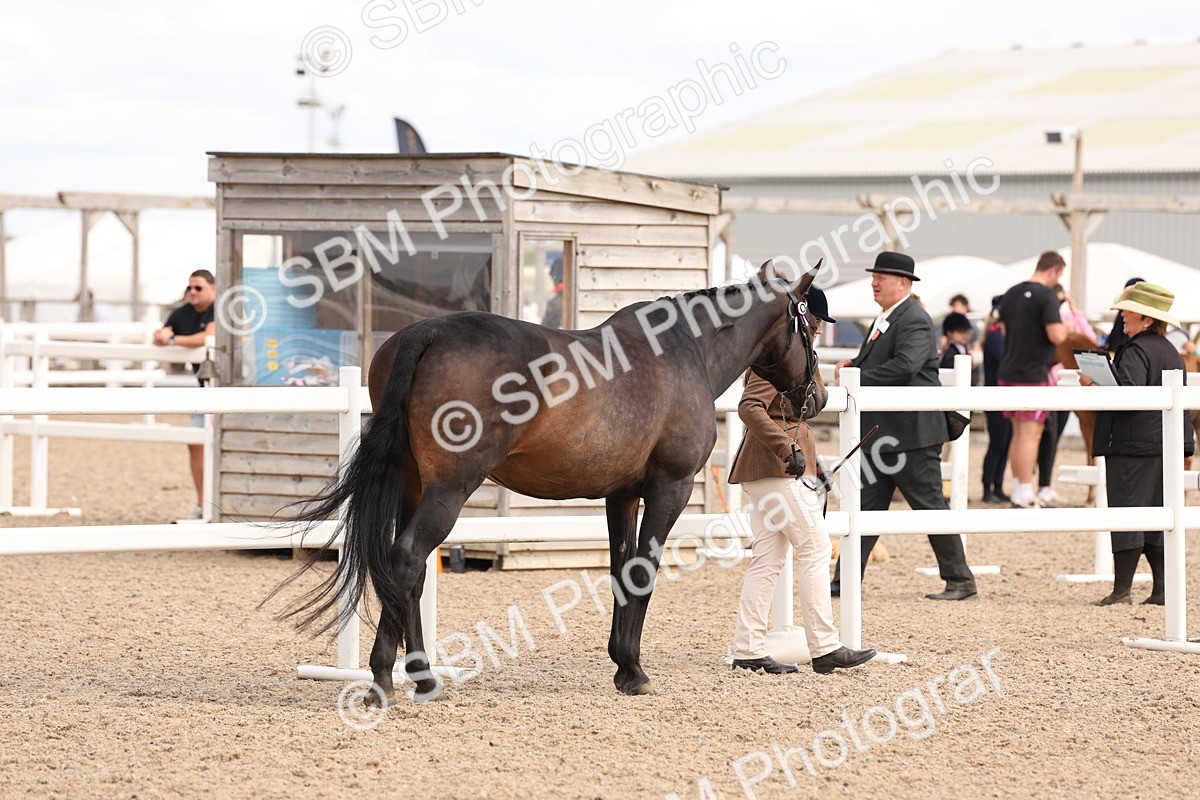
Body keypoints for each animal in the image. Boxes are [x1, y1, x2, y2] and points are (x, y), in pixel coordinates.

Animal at [277, 261, 827, 704]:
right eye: (810, 328)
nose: (817, 396)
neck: (685, 350)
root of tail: (427, 334)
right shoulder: (670, 489)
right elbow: (644, 572)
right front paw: (636, 671)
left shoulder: (621, 495)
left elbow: (621, 571)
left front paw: (623, 666)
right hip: (450, 489)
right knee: (407, 560)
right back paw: (384, 681)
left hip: (415, 486)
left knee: (407, 575)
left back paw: (424, 678)